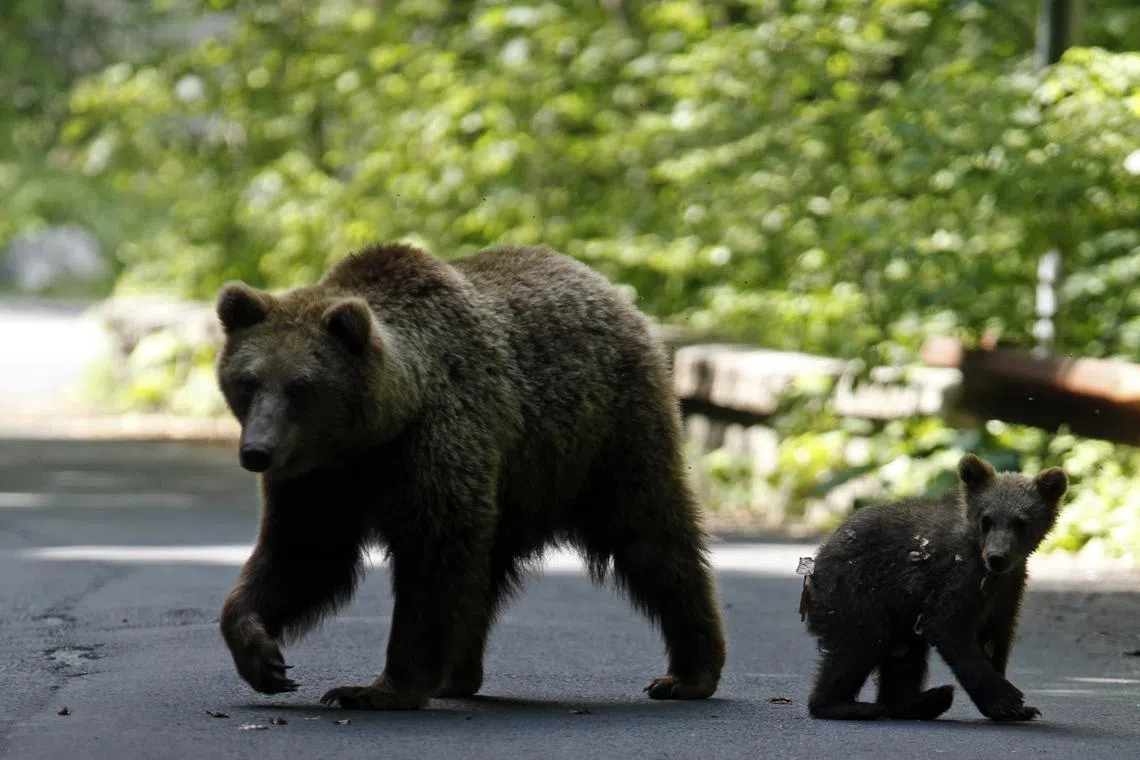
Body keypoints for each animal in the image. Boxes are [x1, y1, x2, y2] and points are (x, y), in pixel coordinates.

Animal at [213, 242, 727, 710]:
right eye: (247, 380)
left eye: (300, 386)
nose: (257, 452)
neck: (376, 432)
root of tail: (609, 290)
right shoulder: (319, 479)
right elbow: (304, 554)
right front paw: (263, 657)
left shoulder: (434, 443)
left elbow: (434, 557)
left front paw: (376, 689)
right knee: (485, 577)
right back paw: (457, 675)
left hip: (606, 436)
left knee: (651, 538)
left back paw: (688, 674)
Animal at [801, 454, 1068, 722]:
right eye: (986, 520)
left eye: (1020, 522)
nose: (997, 557)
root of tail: (818, 558)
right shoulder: (957, 577)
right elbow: (949, 629)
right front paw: (1007, 700)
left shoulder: (1009, 589)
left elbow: (995, 637)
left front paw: (1019, 708)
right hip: (856, 591)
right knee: (860, 643)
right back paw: (846, 705)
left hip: (900, 611)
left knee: (904, 656)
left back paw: (922, 701)